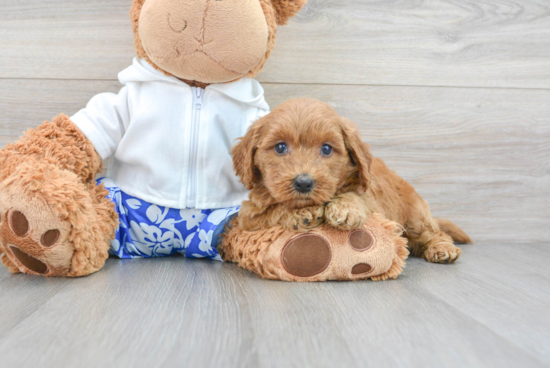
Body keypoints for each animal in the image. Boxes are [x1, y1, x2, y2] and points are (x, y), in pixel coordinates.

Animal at [233, 98, 474, 264]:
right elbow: (273, 209)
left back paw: (442, 249)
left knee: (436, 233)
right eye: (280, 147)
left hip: (415, 217)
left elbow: (357, 195)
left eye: (326, 149)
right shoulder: (249, 215)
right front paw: (300, 212)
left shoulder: (373, 200)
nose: (303, 182)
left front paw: (345, 208)